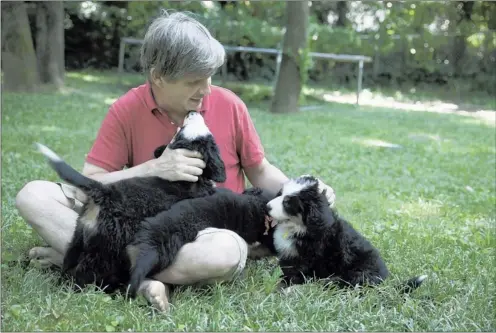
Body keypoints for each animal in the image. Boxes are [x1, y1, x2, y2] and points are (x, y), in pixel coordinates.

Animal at [35, 111, 227, 294]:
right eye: (183, 129)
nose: (192, 111)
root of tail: (104, 192)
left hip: (80, 235)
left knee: (69, 262)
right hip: (106, 248)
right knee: (86, 273)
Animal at [268, 175, 426, 292]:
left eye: (288, 203)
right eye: (280, 193)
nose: (267, 206)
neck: (298, 227)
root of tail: (383, 280)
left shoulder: (306, 259)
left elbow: (295, 276)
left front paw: (284, 286)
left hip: (353, 276)